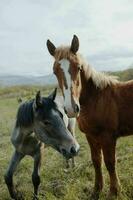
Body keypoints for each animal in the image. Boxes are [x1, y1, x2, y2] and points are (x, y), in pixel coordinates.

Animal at [46, 35, 133, 198]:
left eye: (79, 67)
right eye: (55, 71)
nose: (71, 109)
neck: (96, 99)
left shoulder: (108, 137)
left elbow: (110, 163)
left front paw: (114, 192)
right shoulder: (91, 136)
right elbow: (96, 161)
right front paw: (96, 190)